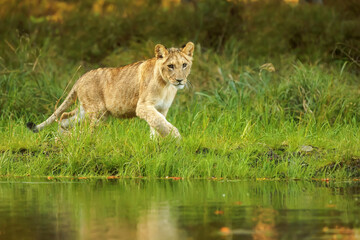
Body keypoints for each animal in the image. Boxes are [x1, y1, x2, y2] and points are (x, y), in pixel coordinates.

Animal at [26, 41, 195, 139]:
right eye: (170, 66)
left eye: (184, 65)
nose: (180, 80)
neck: (167, 86)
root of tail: (81, 77)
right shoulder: (143, 106)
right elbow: (161, 123)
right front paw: (176, 138)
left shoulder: (161, 109)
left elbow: (157, 125)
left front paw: (155, 144)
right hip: (98, 112)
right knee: (87, 130)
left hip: (86, 110)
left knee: (64, 117)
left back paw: (60, 138)